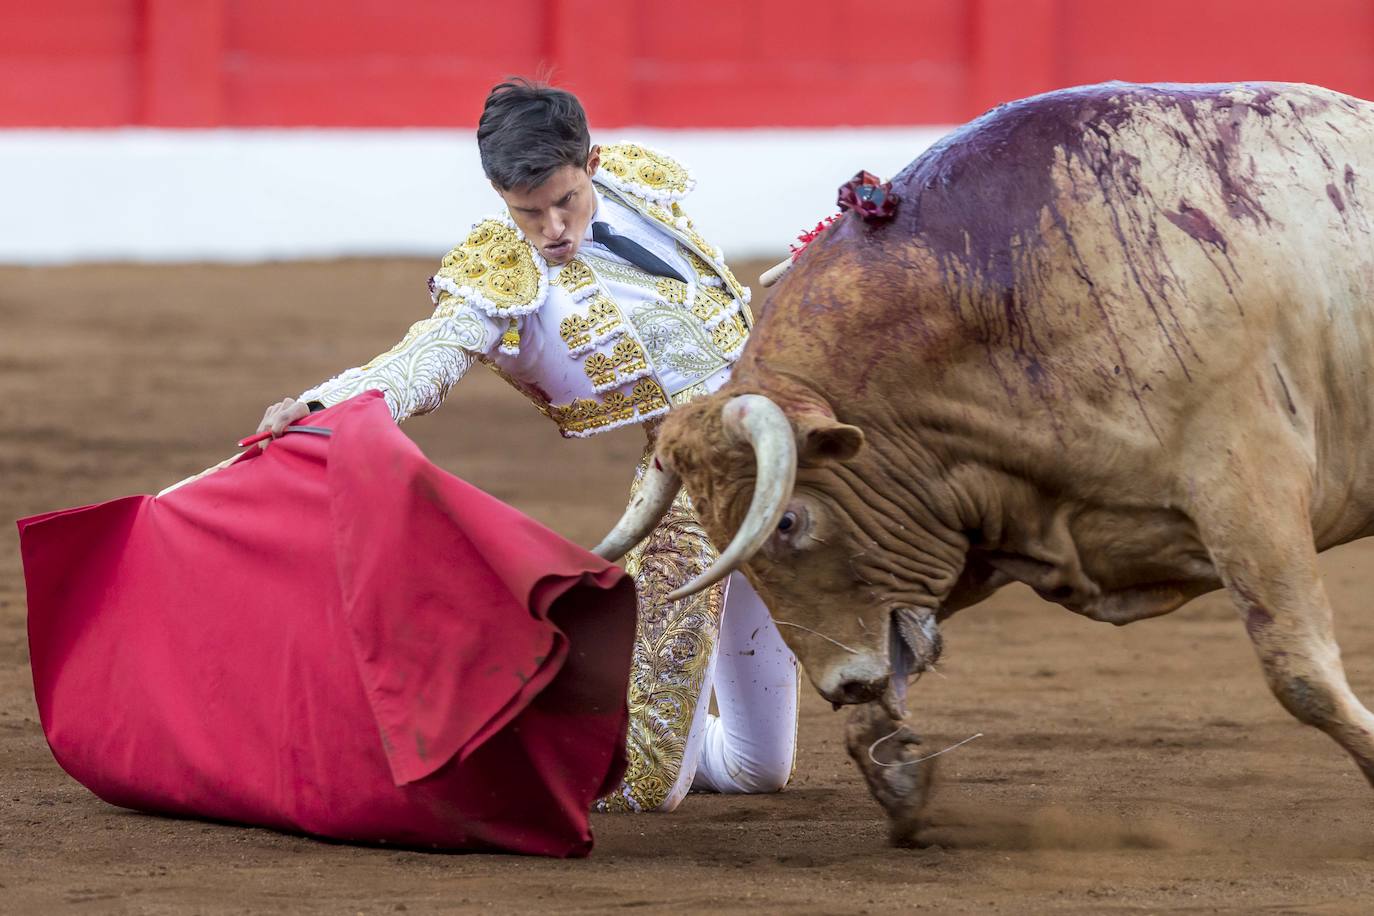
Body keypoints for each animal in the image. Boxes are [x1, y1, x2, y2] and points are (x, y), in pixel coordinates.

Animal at [596, 82, 1374, 840]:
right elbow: (898, 648)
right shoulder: (980, 525)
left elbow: (1299, 671)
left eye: (787, 521)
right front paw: (896, 775)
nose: (843, 685)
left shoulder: (1248, 492)